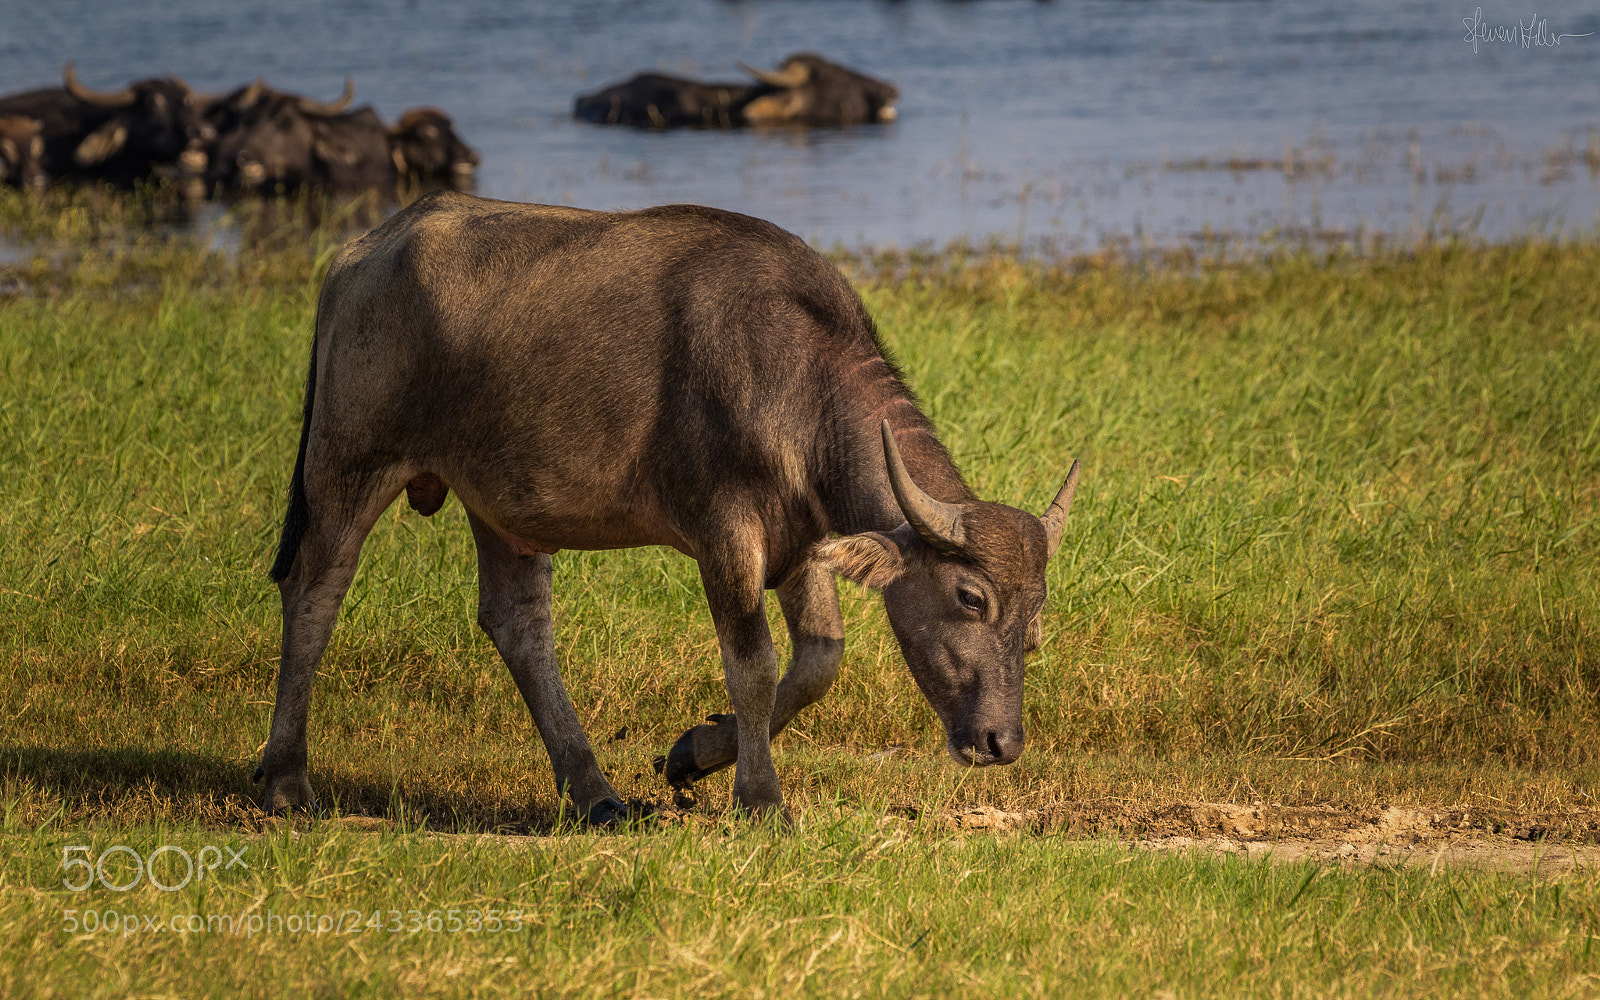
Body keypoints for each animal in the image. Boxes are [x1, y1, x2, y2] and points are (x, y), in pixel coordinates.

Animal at [256, 191, 1078, 823]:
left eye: (1035, 621)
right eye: (970, 597)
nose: (1002, 743)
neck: (790, 378)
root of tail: (360, 254)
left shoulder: (801, 542)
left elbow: (818, 662)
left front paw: (693, 754)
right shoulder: (725, 533)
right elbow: (753, 665)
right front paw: (761, 798)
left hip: (498, 505)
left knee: (517, 623)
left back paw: (595, 793)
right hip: (348, 462)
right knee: (315, 591)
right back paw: (286, 780)